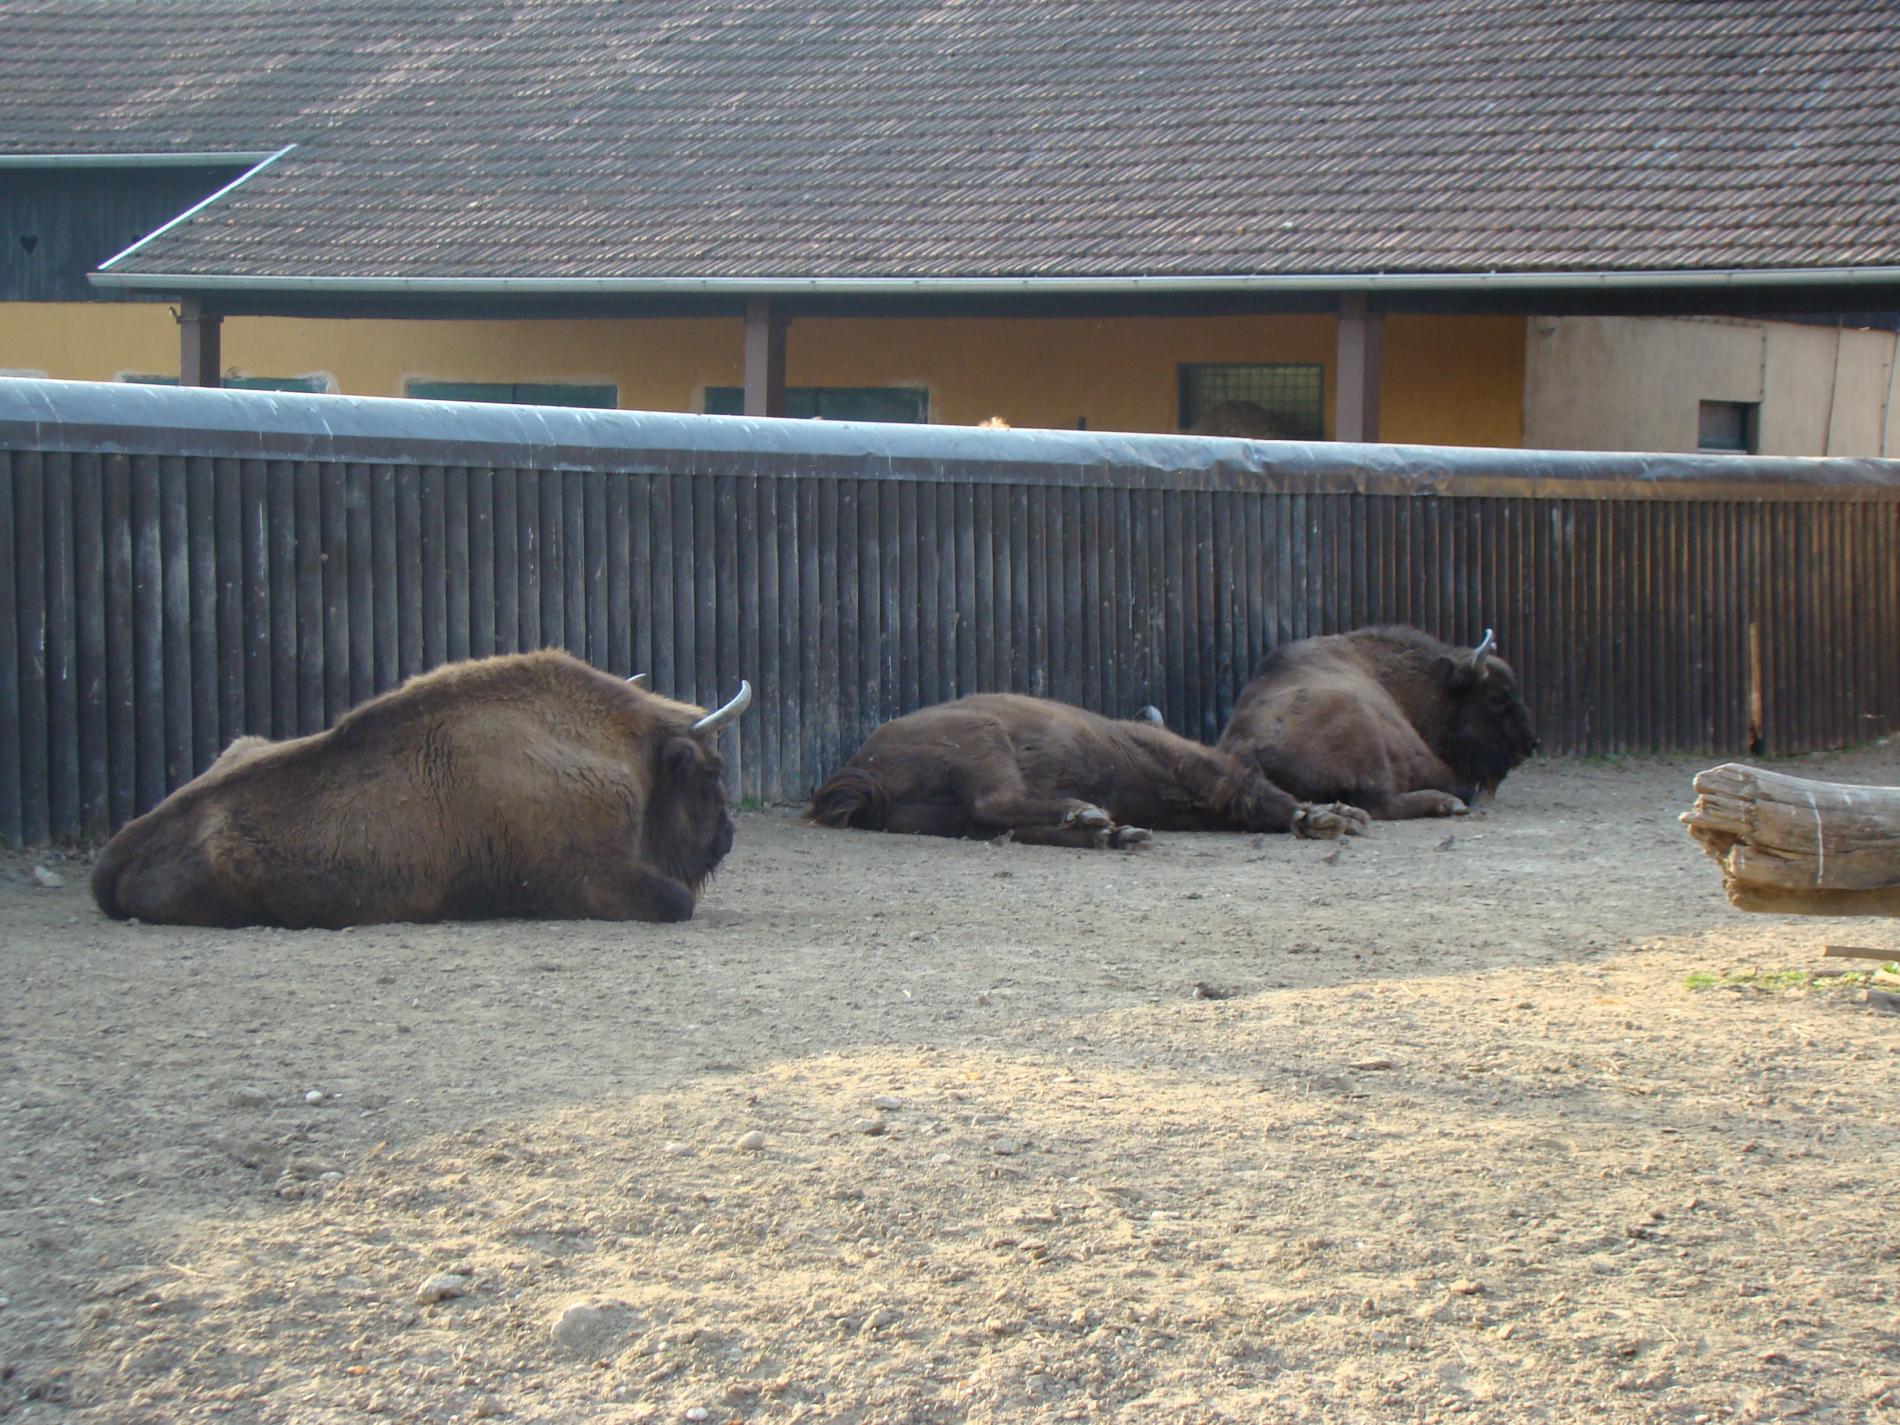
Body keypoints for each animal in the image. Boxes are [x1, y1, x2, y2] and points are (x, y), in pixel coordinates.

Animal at [809, 693, 1368, 847]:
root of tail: (863, 768)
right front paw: (1322, 817)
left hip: (945, 816)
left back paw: (1109, 831)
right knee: (996, 803)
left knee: (1002, 822)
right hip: (984, 743)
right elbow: (1248, 789)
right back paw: (1091, 816)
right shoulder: (1195, 765)